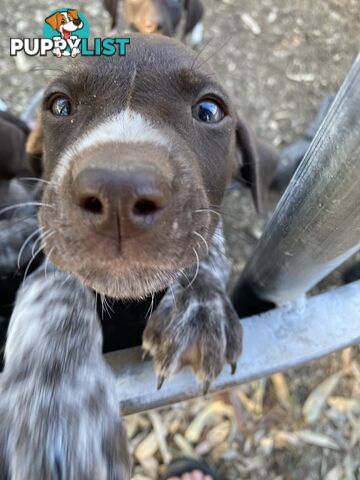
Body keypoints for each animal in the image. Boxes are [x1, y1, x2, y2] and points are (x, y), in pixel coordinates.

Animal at [0, 32, 278, 476]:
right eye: (60, 105)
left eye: (208, 110)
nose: (118, 191)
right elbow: (57, 289)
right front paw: (57, 399)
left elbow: (207, 244)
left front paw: (200, 305)